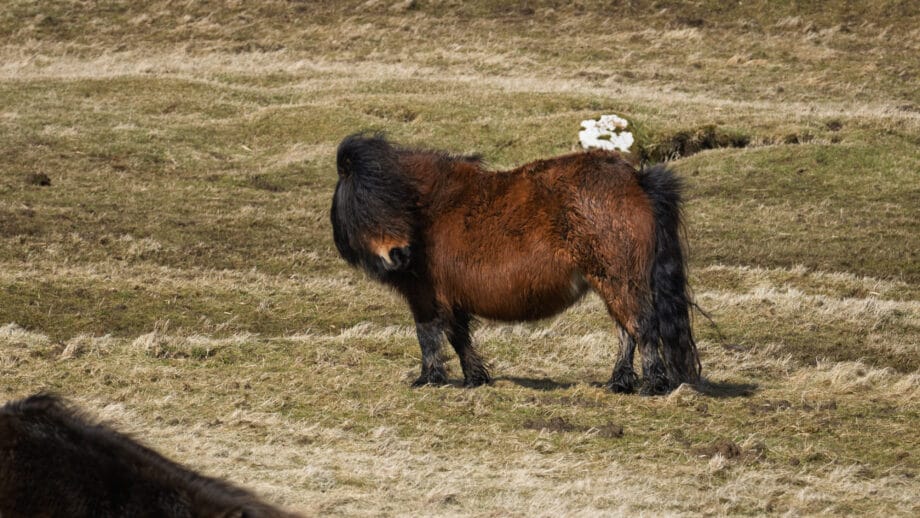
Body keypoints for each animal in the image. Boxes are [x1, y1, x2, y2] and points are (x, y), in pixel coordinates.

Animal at [331, 133, 701, 394]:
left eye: (394, 198)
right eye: (363, 202)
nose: (398, 254)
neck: (428, 214)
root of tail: (636, 180)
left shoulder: (424, 295)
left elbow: (429, 335)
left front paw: (429, 379)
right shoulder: (450, 296)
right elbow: (458, 336)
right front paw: (475, 378)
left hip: (618, 279)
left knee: (641, 326)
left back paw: (651, 385)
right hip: (610, 282)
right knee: (626, 330)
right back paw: (619, 383)